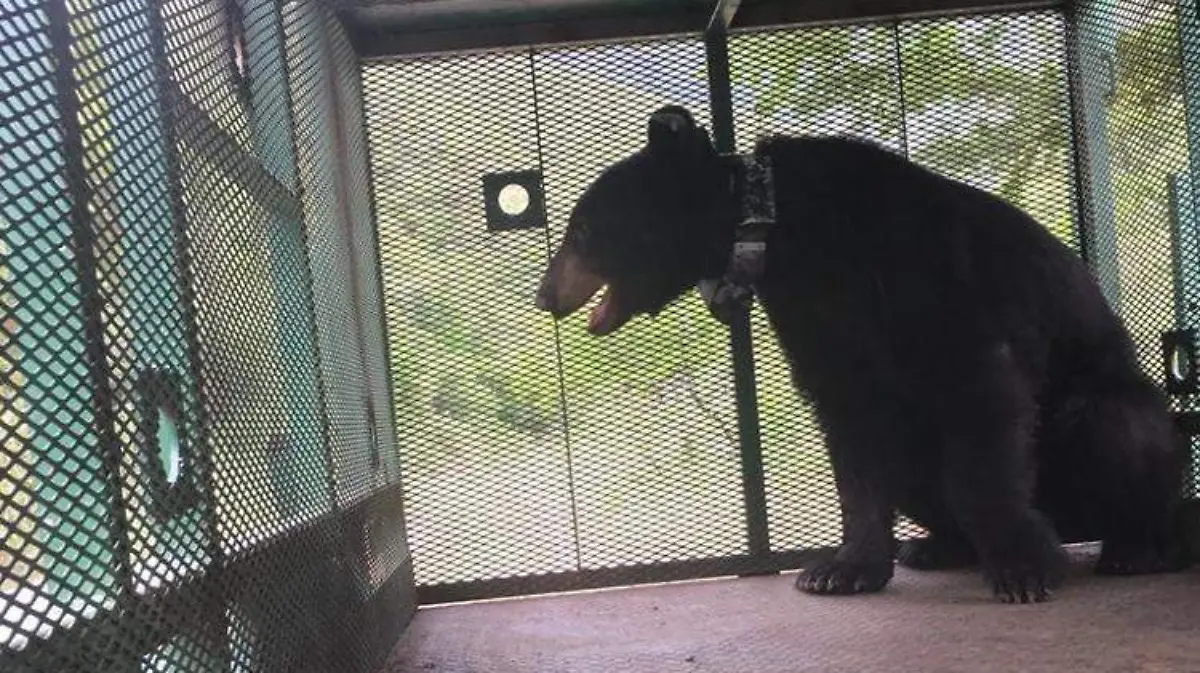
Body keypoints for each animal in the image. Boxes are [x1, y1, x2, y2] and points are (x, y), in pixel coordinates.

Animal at [534, 105, 1192, 604]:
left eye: (581, 231)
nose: (545, 296)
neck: (781, 232)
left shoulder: (927, 275)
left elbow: (980, 400)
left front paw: (1023, 569)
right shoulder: (816, 322)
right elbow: (852, 428)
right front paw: (842, 567)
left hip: (1107, 410)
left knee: (1117, 426)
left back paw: (1137, 547)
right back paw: (936, 545)